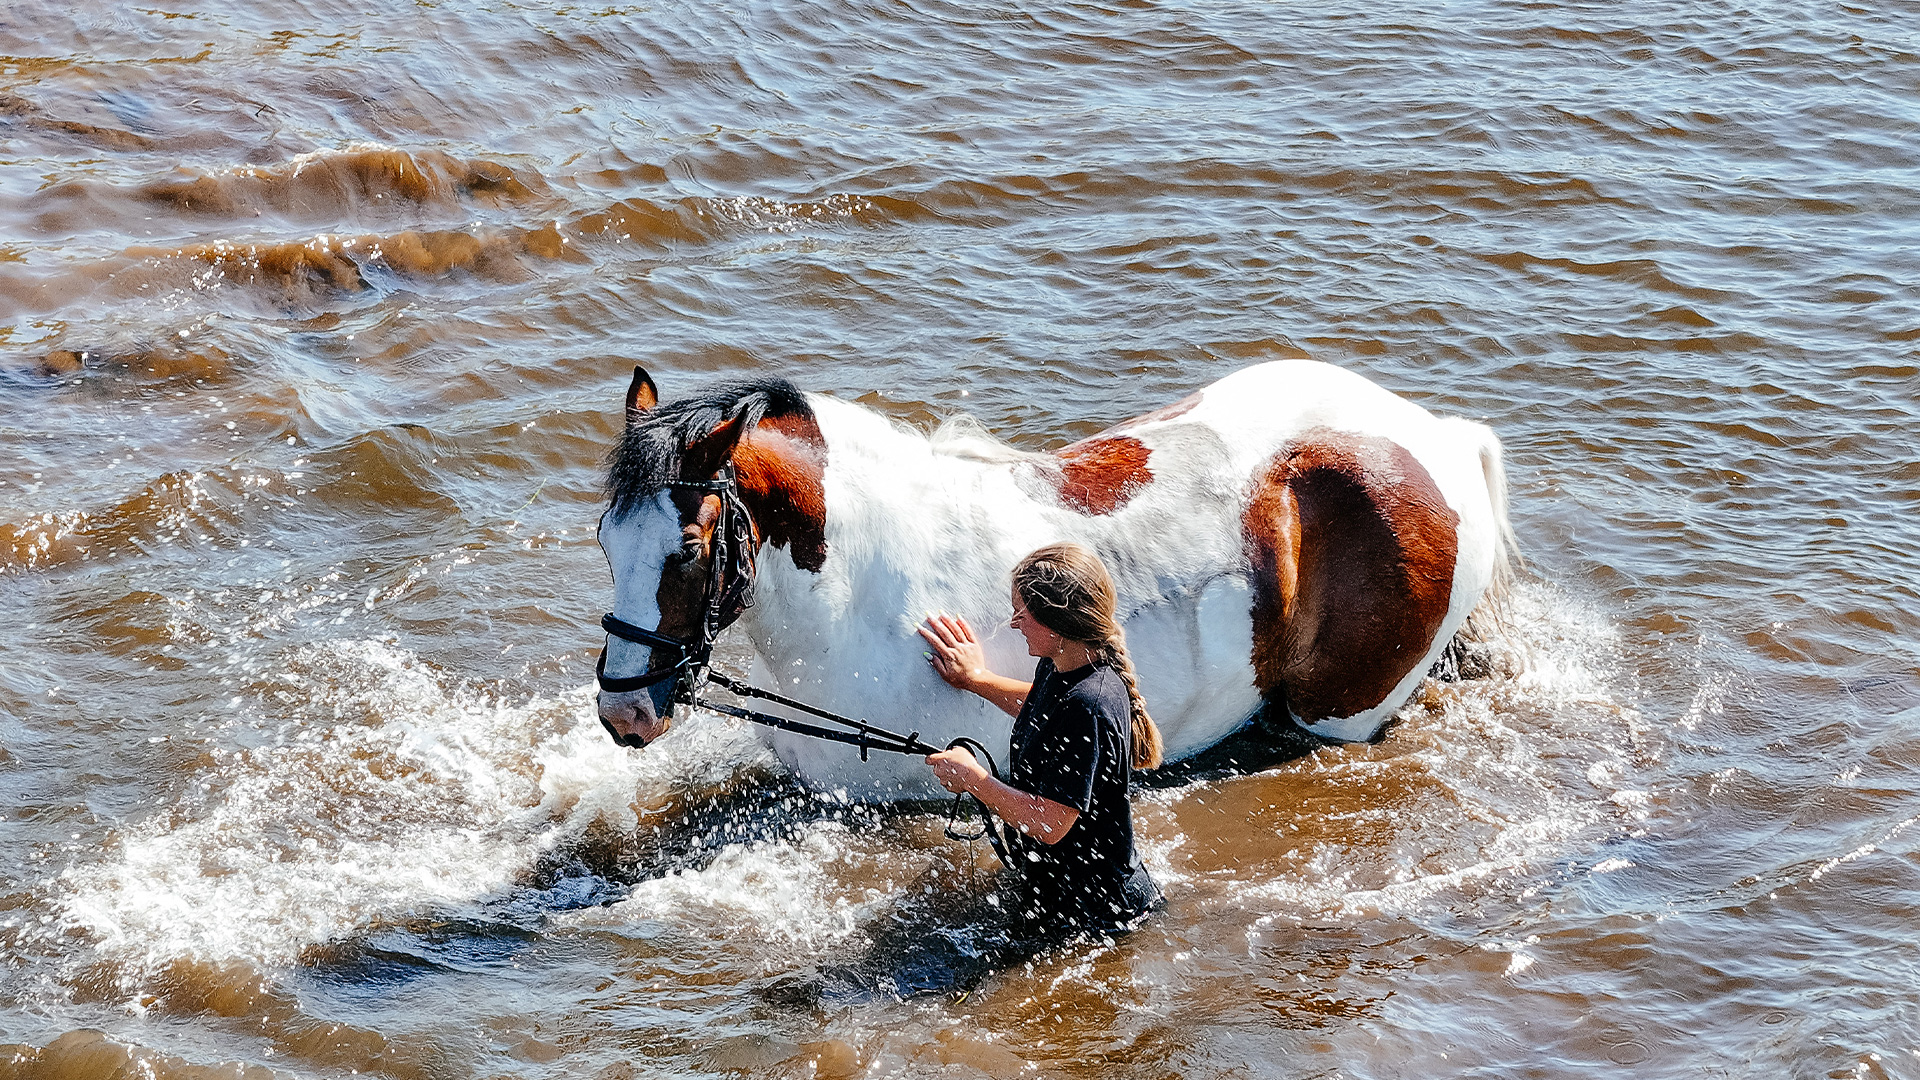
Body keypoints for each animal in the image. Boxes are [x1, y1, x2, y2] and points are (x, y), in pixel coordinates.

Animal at [587, 357, 1512, 795]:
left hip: (1341, 718)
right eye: (605, 541)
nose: (623, 714)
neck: (862, 598)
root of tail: (1438, 437)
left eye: (691, 548)